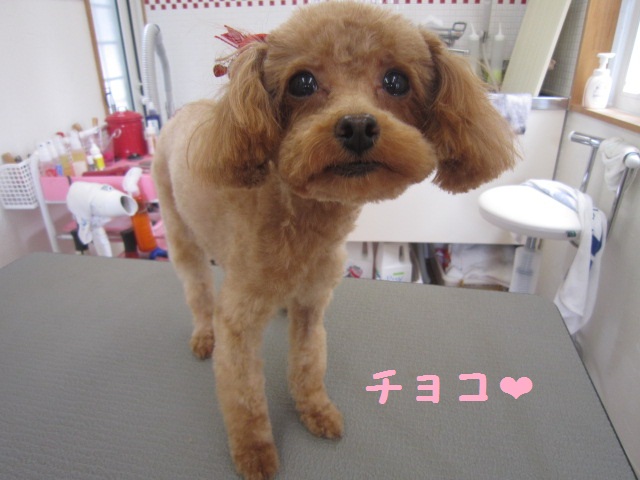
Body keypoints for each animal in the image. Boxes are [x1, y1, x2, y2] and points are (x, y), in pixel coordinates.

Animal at [152, 2, 515, 478]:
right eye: (302, 83)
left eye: (396, 81)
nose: (358, 125)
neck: (299, 217)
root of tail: (182, 111)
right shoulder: (239, 321)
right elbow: (244, 395)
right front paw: (253, 451)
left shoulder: (313, 304)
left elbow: (308, 363)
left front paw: (315, 410)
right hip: (179, 228)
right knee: (196, 288)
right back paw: (201, 333)